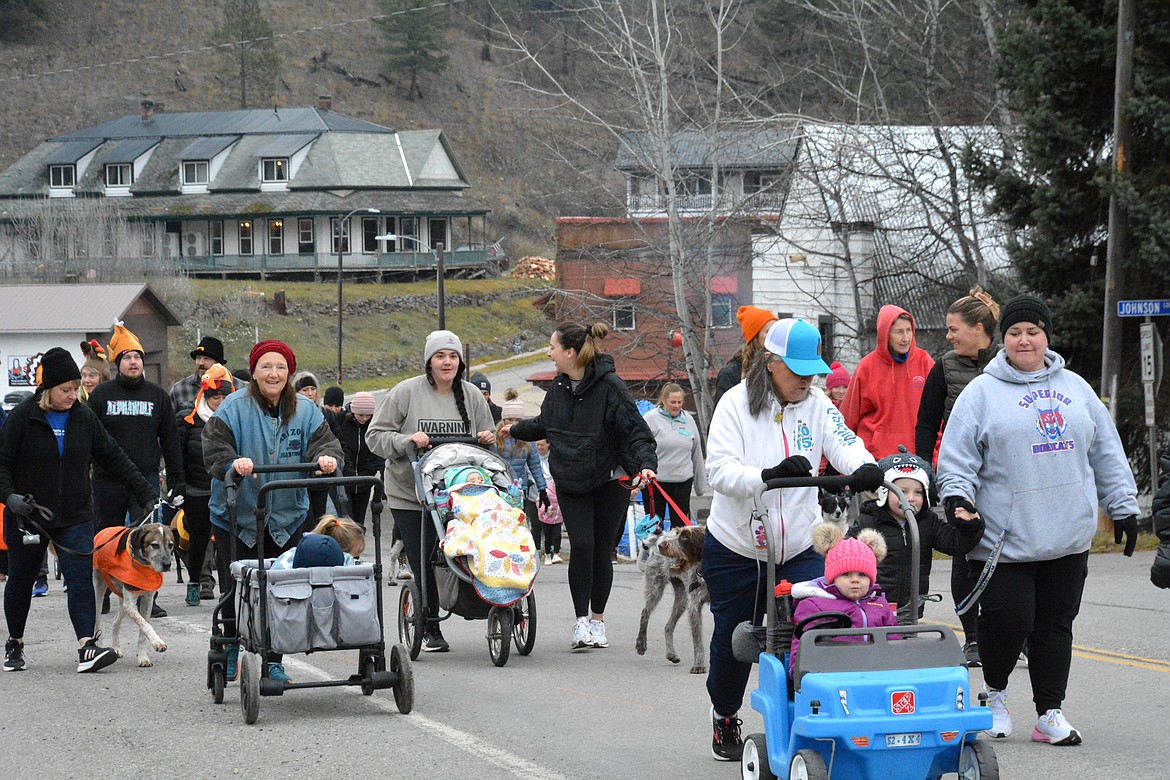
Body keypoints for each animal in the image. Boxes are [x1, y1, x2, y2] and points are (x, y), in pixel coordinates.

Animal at [93, 521, 173, 668]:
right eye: (154, 545)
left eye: (170, 545)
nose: (167, 564)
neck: (143, 563)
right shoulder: (130, 604)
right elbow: (146, 625)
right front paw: (157, 642)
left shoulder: (147, 601)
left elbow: (143, 630)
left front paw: (143, 657)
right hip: (99, 590)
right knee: (97, 622)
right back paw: (99, 648)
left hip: (122, 597)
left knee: (116, 621)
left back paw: (116, 648)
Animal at [636, 523, 706, 678]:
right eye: (678, 533)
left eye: (686, 536)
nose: (662, 546)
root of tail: (659, 538)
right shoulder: (695, 607)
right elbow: (698, 641)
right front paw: (699, 665)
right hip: (655, 588)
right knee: (645, 612)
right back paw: (641, 643)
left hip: (682, 599)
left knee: (668, 626)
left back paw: (671, 654)